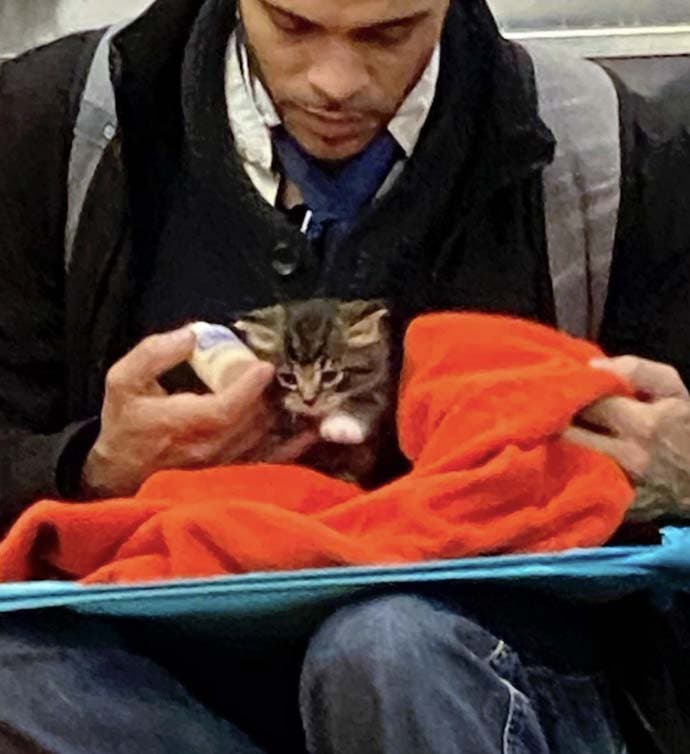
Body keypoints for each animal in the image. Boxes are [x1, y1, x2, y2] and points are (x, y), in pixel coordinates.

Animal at [234, 296, 390, 478]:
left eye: (329, 375)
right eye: (289, 378)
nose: (309, 401)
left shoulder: (381, 373)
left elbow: (370, 395)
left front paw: (343, 423)